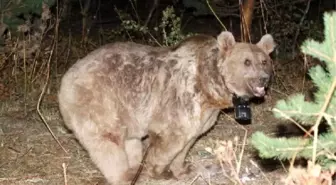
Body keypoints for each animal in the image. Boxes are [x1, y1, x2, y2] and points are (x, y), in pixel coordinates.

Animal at [57, 31, 276, 184]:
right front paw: (159, 171)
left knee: (129, 139)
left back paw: (134, 166)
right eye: (246, 62)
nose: (263, 79)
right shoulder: (181, 98)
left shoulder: (204, 113)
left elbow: (189, 139)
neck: (210, 85)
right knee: (107, 141)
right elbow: (172, 139)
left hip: (126, 110)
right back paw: (124, 175)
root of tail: (65, 80)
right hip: (100, 99)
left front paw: (182, 168)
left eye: (264, 61)